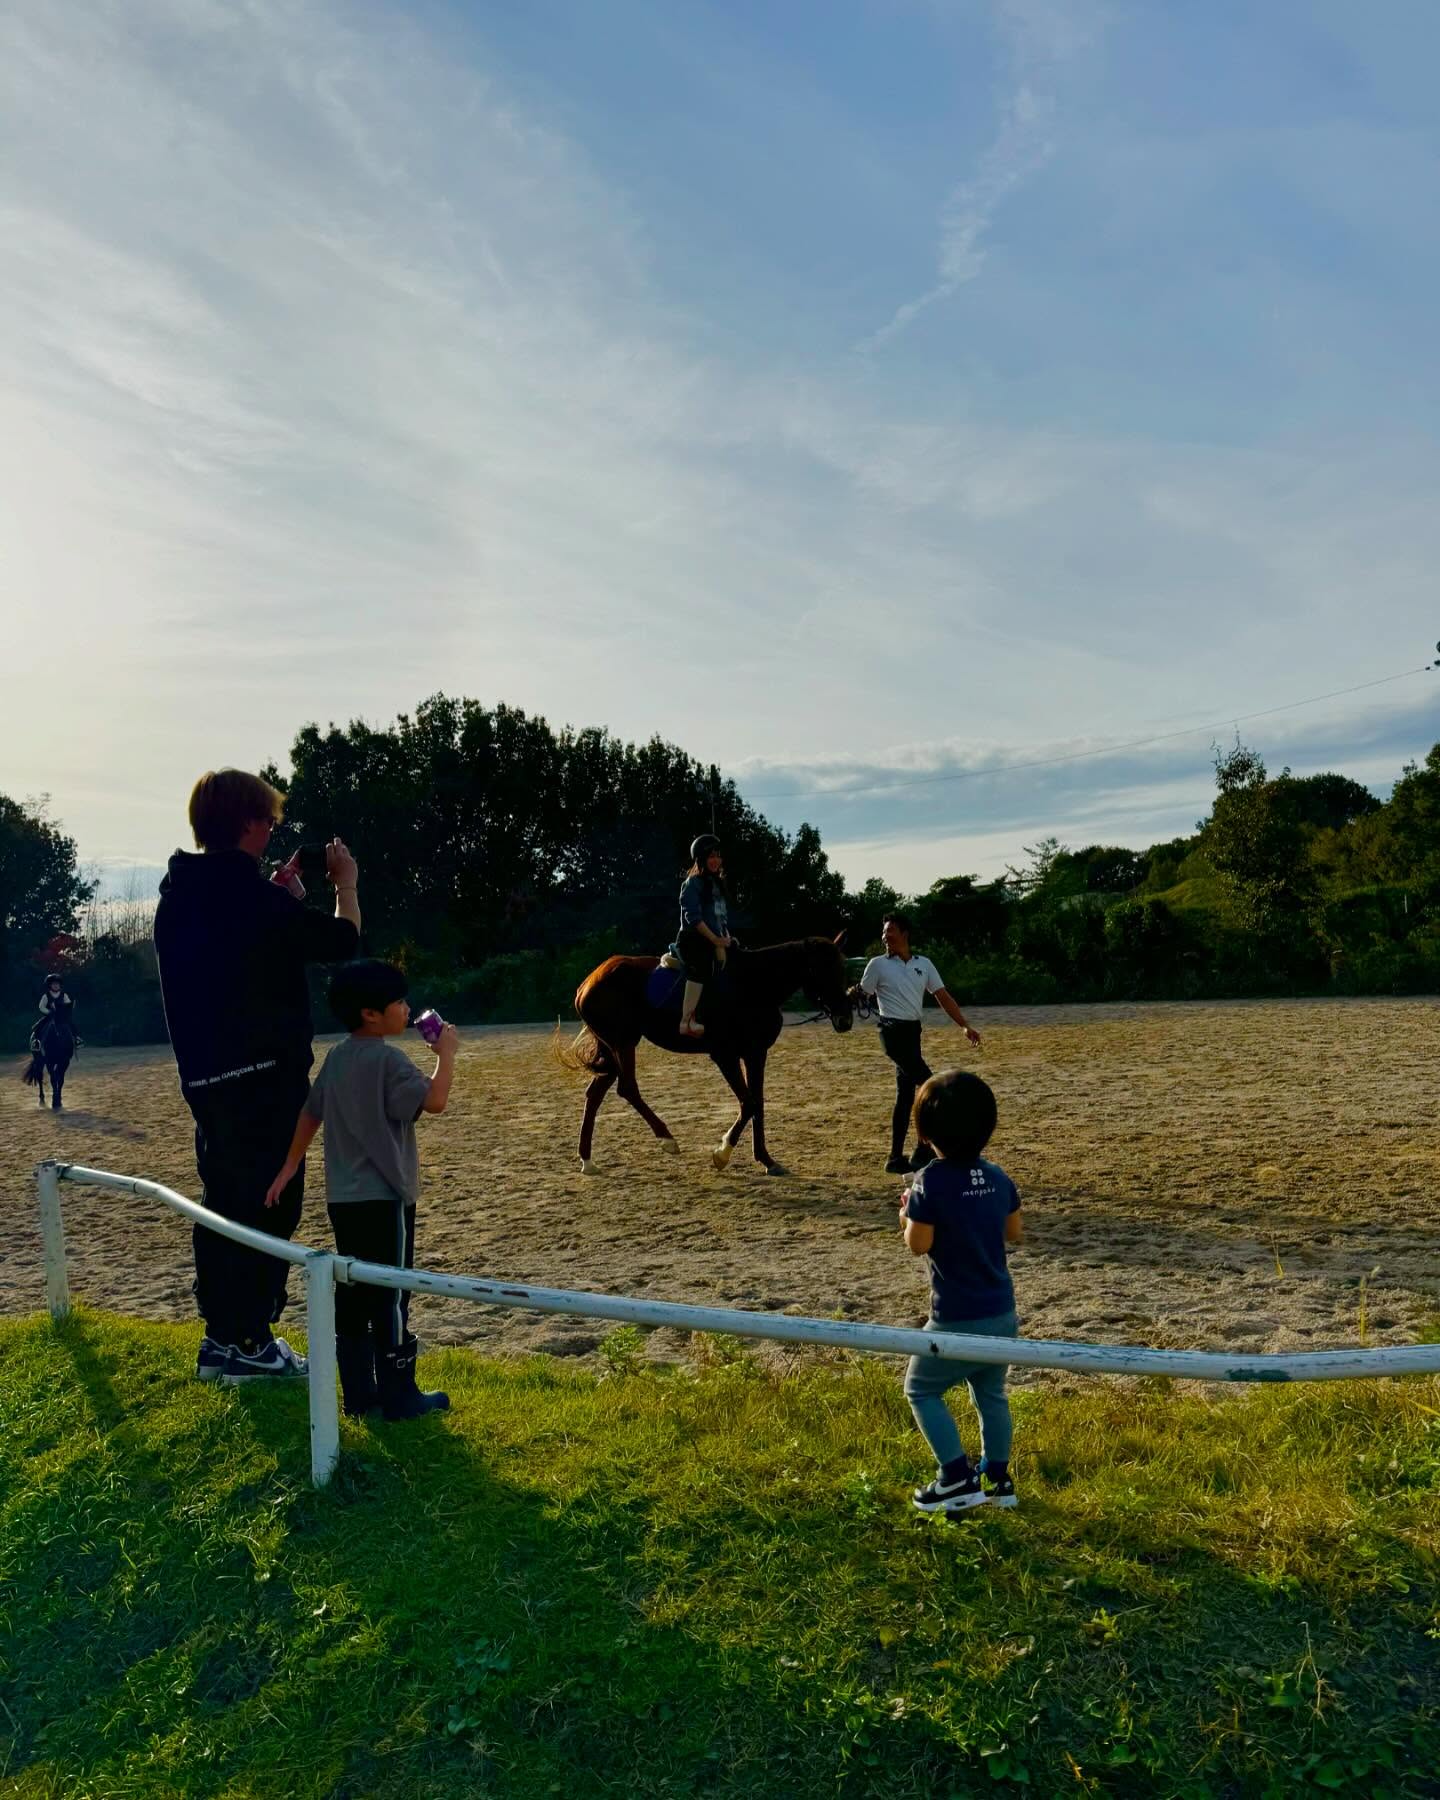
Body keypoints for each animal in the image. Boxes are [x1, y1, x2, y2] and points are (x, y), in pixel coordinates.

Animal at [561, 936, 856, 1173]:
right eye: (822, 970)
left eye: (841, 969)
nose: (845, 1019)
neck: (754, 984)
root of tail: (589, 982)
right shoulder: (725, 1055)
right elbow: (749, 1103)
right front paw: (722, 1153)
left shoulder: (755, 1053)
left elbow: (757, 1103)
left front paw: (766, 1159)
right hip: (623, 1044)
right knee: (628, 1088)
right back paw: (667, 1140)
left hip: (613, 1050)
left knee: (595, 1094)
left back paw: (587, 1160)